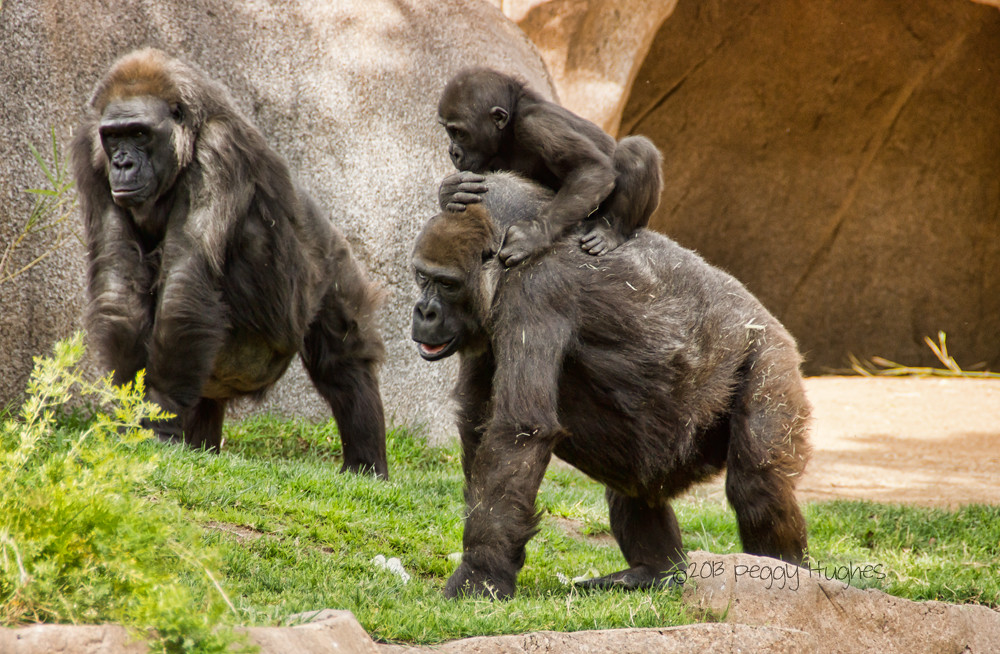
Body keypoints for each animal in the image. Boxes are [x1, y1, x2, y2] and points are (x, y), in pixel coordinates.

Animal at [71, 48, 388, 477]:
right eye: (114, 136)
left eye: (139, 134)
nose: (122, 164)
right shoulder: (90, 154)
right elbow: (119, 282)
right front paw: (133, 414)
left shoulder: (220, 151)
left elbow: (187, 281)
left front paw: (158, 417)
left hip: (332, 268)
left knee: (344, 363)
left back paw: (365, 466)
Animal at [412, 172, 811, 599]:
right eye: (421, 276)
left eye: (447, 284)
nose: (425, 312)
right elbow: (478, 423)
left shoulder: (536, 290)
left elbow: (518, 430)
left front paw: (480, 573)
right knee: (634, 478)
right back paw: (652, 571)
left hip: (770, 354)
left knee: (757, 484)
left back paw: (785, 575)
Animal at [436, 67, 663, 267]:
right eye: (448, 130)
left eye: (458, 132)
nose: (453, 152)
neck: (509, 126)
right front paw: (450, 191)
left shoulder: (536, 123)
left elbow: (591, 168)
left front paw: (533, 235)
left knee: (636, 150)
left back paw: (611, 231)